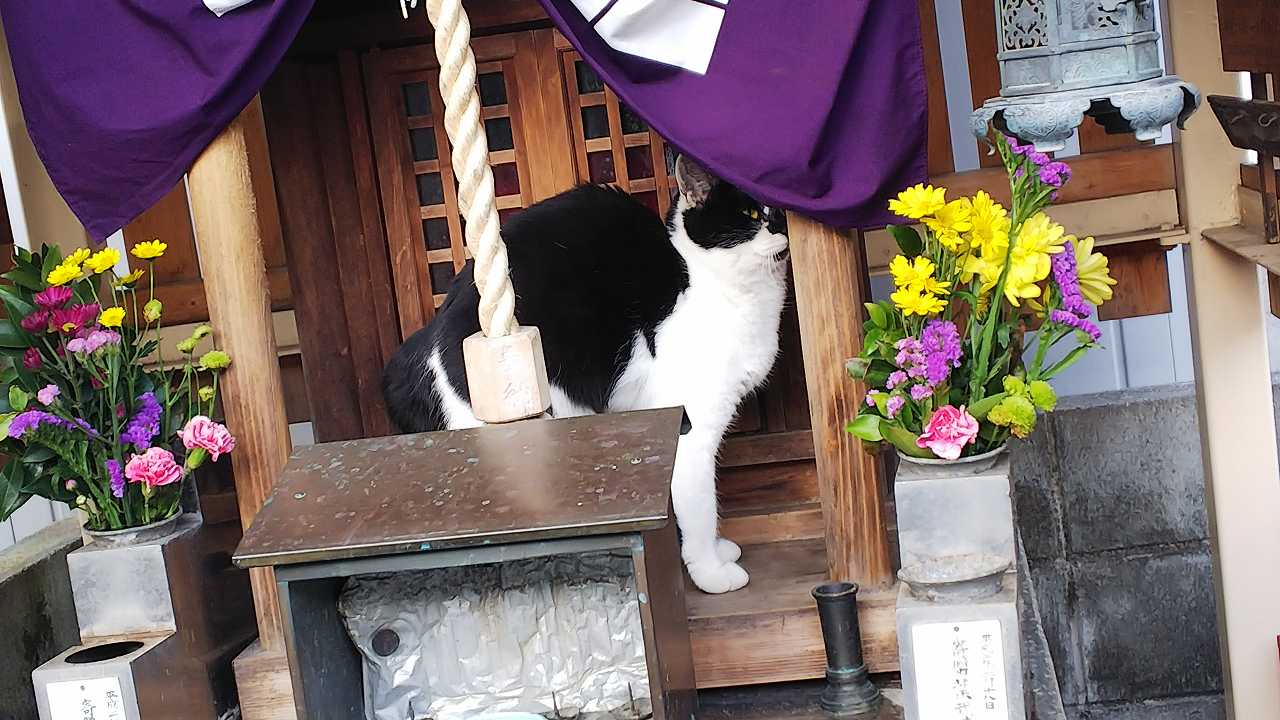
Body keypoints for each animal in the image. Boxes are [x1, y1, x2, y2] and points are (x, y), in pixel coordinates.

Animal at [382, 156, 790, 594]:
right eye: (751, 214)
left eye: (779, 211)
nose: (782, 227)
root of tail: (432, 332)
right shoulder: (692, 426)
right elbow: (699, 504)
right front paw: (710, 570)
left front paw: (717, 552)